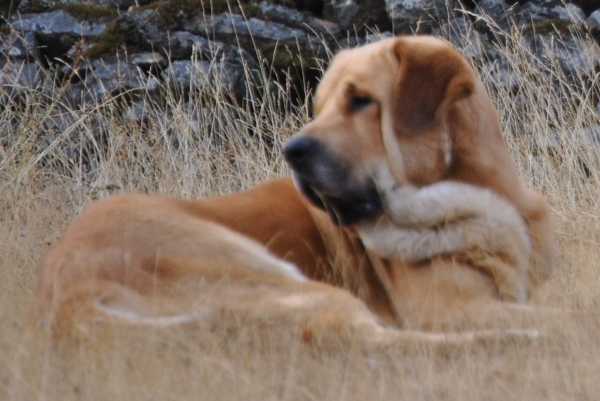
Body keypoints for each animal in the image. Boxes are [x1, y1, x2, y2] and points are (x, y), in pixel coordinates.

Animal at [28, 36, 552, 340]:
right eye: (318, 107)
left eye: (361, 101)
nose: (293, 150)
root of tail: (67, 289)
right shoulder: (454, 308)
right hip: (254, 269)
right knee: (361, 336)